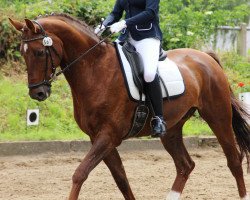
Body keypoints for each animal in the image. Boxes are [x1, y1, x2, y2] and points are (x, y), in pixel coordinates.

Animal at [8, 14, 249, 200]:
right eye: (22, 52)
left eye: (39, 52)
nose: (37, 93)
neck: (95, 69)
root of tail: (206, 57)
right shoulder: (98, 137)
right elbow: (121, 178)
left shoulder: (108, 135)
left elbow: (80, 173)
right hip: (171, 129)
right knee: (185, 165)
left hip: (218, 118)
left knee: (233, 161)